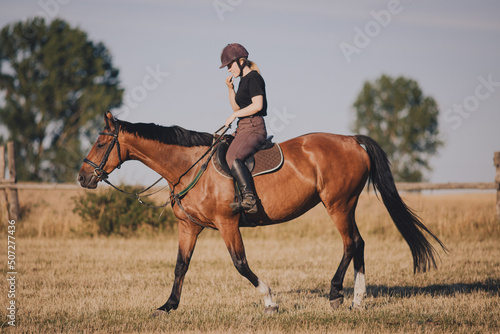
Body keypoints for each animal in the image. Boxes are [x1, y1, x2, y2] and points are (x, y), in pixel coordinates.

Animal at [78, 111, 446, 316]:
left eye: (101, 143)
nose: (82, 178)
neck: (189, 166)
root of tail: (352, 141)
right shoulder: (189, 227)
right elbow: (180, 266)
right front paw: (168, 306)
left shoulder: (228, 224)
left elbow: (241, 265)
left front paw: (270, 301)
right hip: (347, 203)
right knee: (359, 243)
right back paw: (357, 299)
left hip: (337, 204)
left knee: (350, 243)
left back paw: (335, 294)